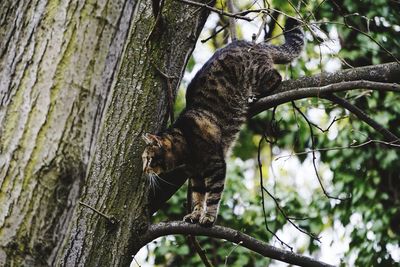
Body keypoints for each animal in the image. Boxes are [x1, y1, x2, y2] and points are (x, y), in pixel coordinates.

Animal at [141, 17, 304, 227]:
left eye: (148, 158)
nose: (144, 169)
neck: (184, 146)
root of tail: (253, 43)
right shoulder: (195, 175)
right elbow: (198, 197)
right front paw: (195, 214)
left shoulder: (216, 165)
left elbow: (212, 196)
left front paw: (209, 216)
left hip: (258, 73)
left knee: (277, 77)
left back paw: (256, 94)